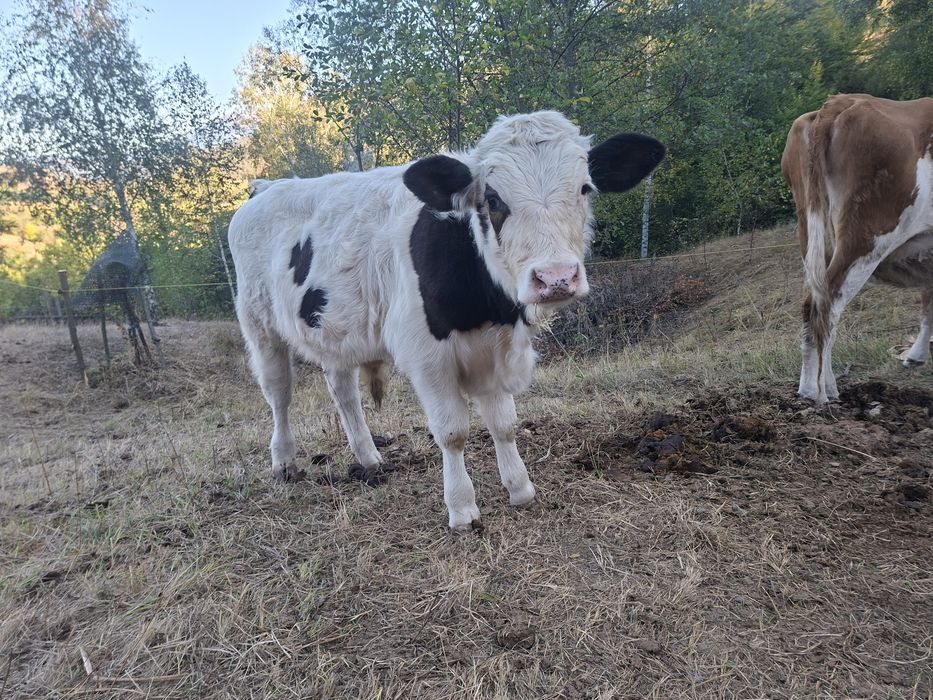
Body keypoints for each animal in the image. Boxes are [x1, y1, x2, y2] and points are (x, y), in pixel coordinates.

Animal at [228, 111, 664, 531]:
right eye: (493, 198)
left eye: (585, 188)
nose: (555, 277)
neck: (490, 308)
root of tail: (267, 188)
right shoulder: (427, 357)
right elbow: (453, 432)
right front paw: (462, 508)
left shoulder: (495, 347)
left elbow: (504, 423)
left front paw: (519, 487)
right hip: (259, 324)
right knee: (279, 394)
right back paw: (284, 463)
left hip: (337, 330)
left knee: (343, 392)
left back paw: (369, 459)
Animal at [781, 94, 933, 404]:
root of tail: (840, 101)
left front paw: (916, 355)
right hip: (866, 236)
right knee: (826, 305)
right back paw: (821, 392)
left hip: (813, 231)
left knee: (814, 303)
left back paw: (815, 387)